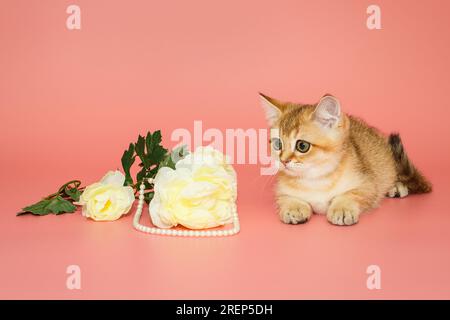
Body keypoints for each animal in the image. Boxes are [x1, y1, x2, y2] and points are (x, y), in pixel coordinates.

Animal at [260, 94, 432, 226]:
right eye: (277, 144)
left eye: (302, 146)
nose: (283, 161)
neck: (315, 179)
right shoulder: (281, 190)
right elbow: (286, 198)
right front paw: (294, 208)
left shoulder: (368, 184)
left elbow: (352, 194)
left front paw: (342, 208)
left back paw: (395, 187)